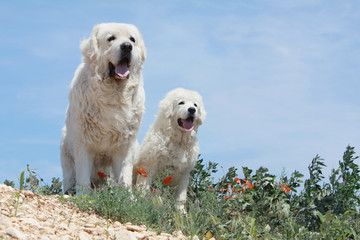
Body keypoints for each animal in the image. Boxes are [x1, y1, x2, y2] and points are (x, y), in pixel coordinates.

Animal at [60, 23, 146, 194]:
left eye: (132, 39)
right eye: (111, 38)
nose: (127, 46)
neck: (113, 93)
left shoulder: (124, 146)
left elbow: (124, 175)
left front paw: (127, 197)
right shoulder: (83, 143)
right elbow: (83, 177)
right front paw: (84, 196)